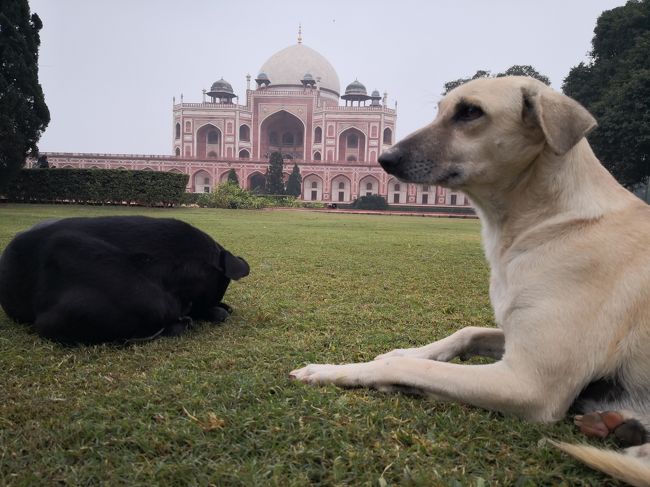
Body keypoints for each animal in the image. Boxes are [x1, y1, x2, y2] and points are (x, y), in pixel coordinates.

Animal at [292, 76, 648, 484]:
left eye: (471, 112)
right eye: (440, 110)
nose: (385, 159)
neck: (550, 222)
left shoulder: (530, 384)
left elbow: (412, 369)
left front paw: (333, 370)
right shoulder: (513, 331)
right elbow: (466, 331)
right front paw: (405, 352)